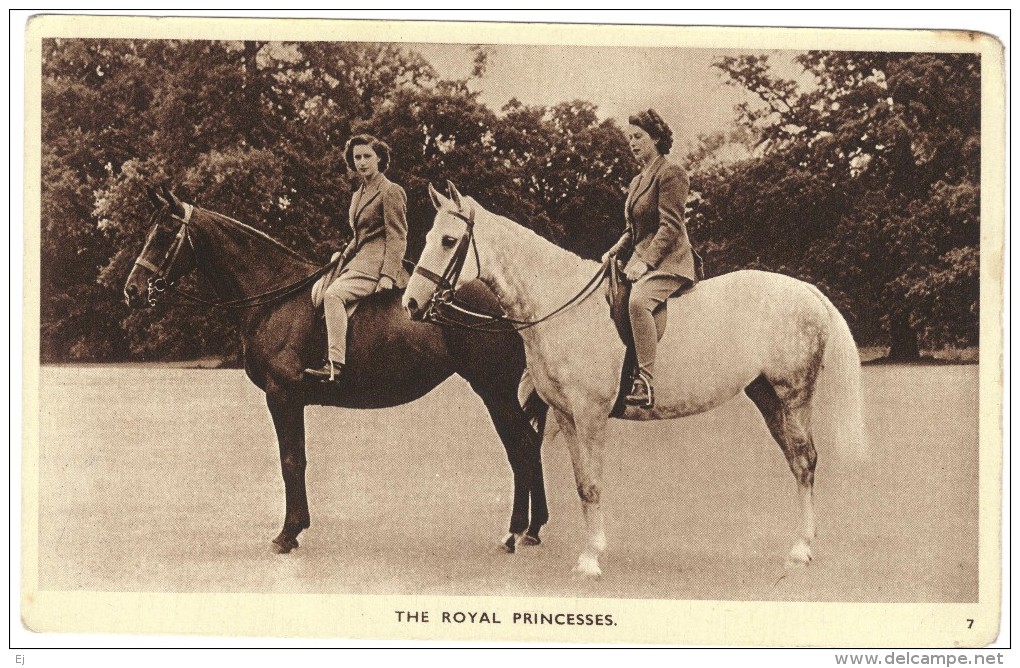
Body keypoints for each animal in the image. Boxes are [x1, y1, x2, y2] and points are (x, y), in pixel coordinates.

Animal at [123, 186, 550, 554]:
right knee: (530, 444)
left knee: (521, 447)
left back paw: (514, 532)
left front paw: (288, 533)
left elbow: (291, 461)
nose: (132, 289)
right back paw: (533, 528)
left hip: (493, 389)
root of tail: (510, 299)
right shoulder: (288, 399)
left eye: (164, 233)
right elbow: (294, 459)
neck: (275, 297)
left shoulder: (283, 396)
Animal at [401, 184, 864, 579]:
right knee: (795, 461)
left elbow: (591, 485)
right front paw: (586, 548)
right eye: (428, 236)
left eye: (448, 241)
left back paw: (801, 549)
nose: (411, 304)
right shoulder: (566, 415)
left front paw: (589, 560)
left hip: (794, 395)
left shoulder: (590, 414)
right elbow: (580, 482)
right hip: (767, 397)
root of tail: (806, 291)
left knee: (804, 461)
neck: (562, 304)